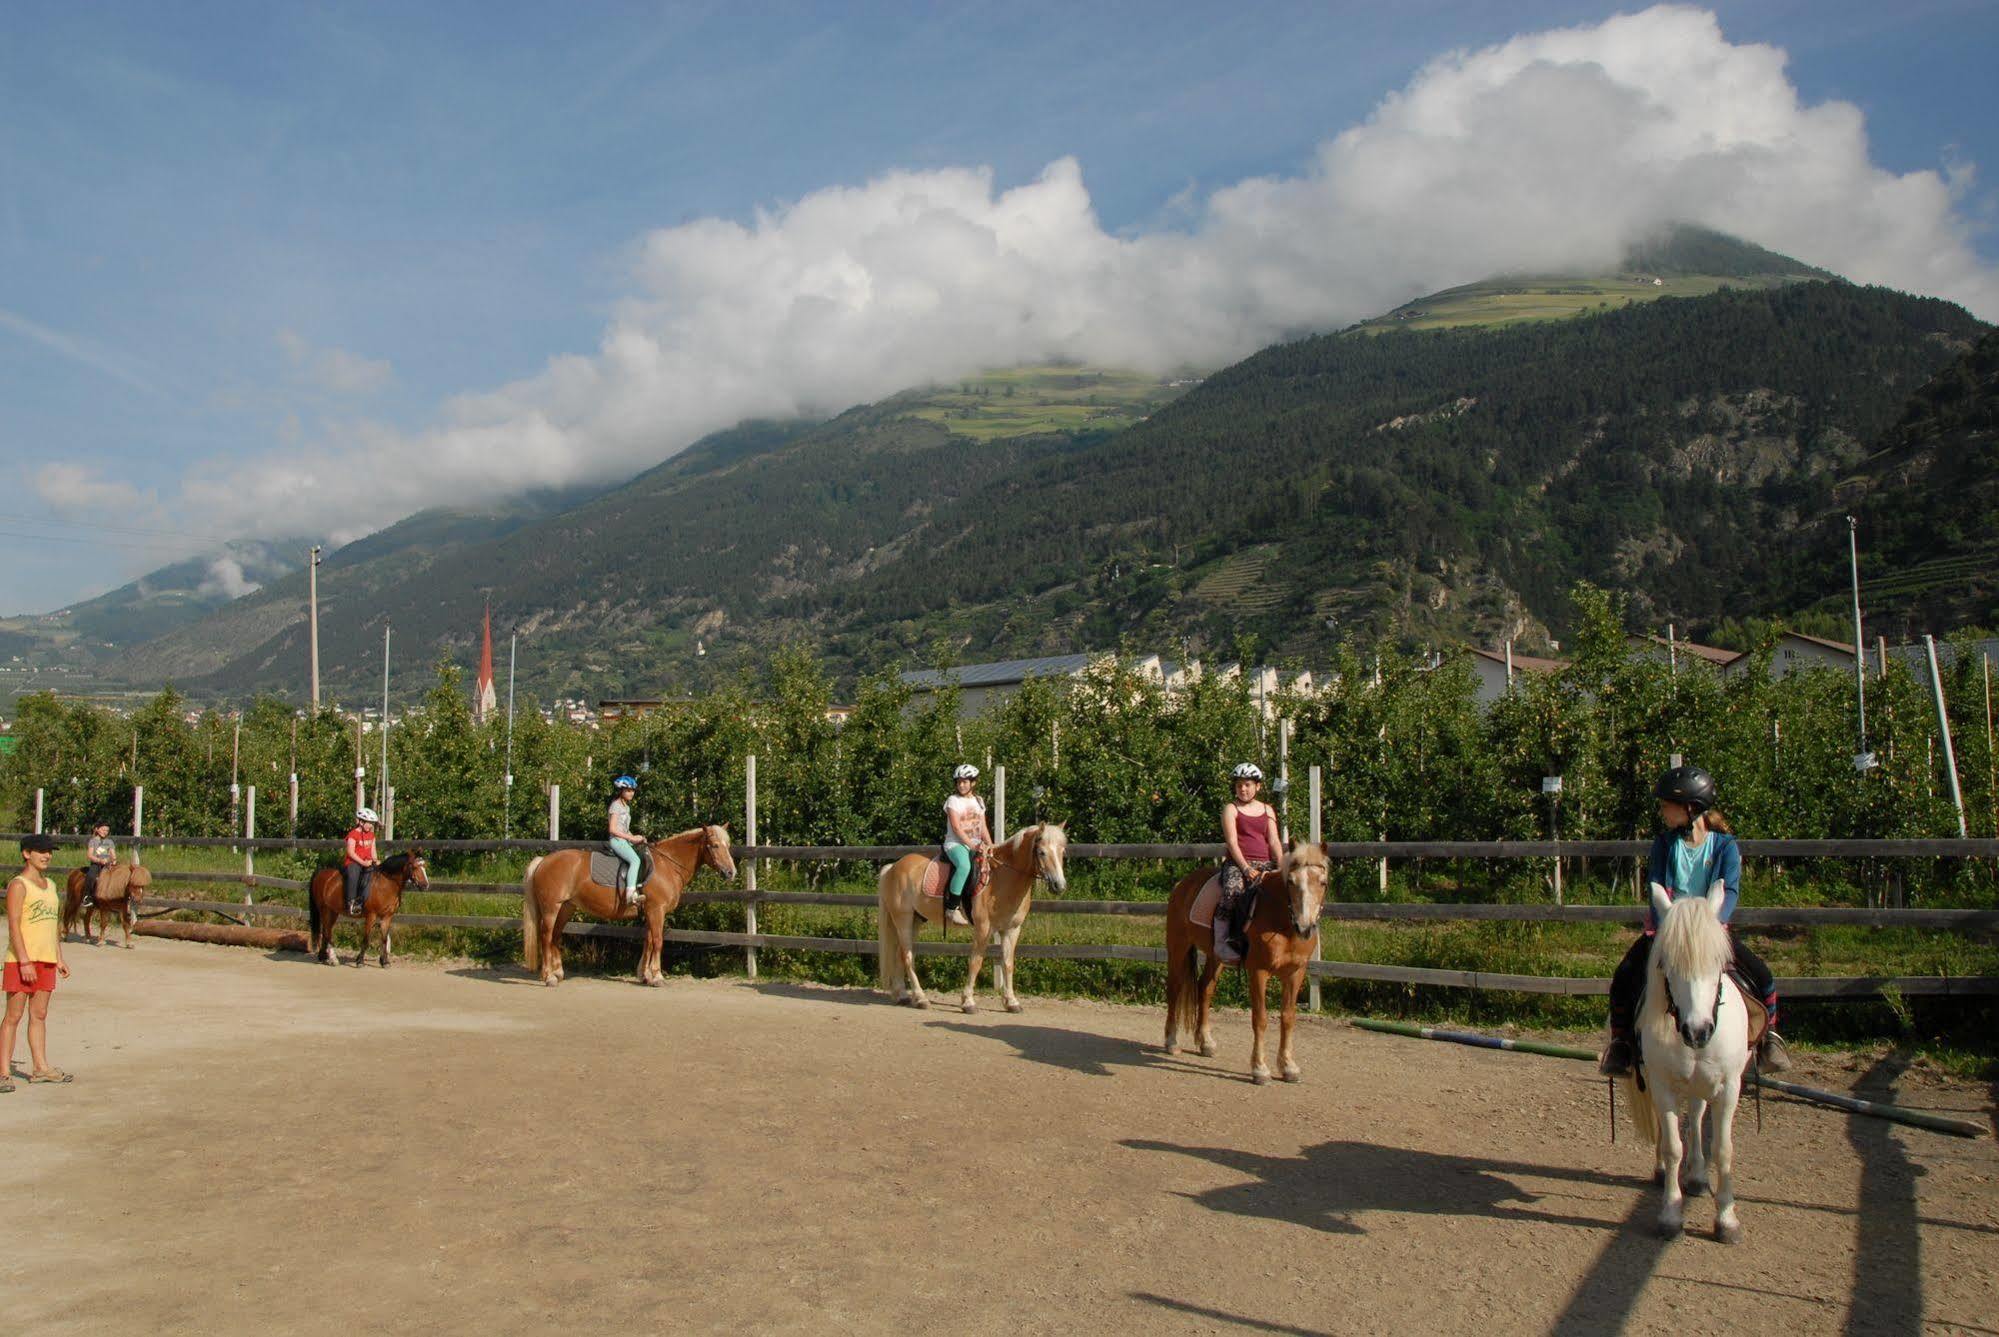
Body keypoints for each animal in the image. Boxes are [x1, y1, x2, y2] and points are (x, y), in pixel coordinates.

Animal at [519, 827, 739, 987]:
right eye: (714, 845)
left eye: (728, 845)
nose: (731, 872)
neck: (667, 865)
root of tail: (544, 860)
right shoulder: (656, 910)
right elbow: (658, 941)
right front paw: (657, 976)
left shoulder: (650, 911)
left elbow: (648, 941)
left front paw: (645, 975)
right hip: (551, 908)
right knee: (546, 937)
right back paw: (548, 977)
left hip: (566, 908)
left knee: (555, 936)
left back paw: (558, 973)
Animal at [871, 823, 1063, 1011]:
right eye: (1042, 852)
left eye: (1062, 852)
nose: (1059, 885)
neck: (1001, 876)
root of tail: (893, 867)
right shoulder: (983, 928)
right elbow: (976, 962)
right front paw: (968, 1001)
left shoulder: (1011, 929)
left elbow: (1008, 964)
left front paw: (1012, 1002)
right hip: (903, 918)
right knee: (907, 956)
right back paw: (920, 998)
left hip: (915, 920)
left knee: (899, 954)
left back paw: (903, 995)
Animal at [1159, 843, 1327, 1087]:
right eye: (1291, 881)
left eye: (1323, 882)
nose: (1305, 927)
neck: (1282, 921)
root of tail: (1183, 884)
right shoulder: (1258, 971)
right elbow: (1260, 1018)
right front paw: (1260, 1069)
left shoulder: (1296, 972)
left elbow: (1288, 1017)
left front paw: (1288, 1067)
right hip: (1178, 947)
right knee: (1174, 990)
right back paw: (1171, 1042)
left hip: (1216, 956)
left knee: (1204, 989)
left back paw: (1206, 1043)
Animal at [1623, 875, 1751, 1239]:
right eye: (1665, 964)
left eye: (1720, 964)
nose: (1698, 1031)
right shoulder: (1661, 1083)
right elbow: (1672, 1145)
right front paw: (1670, 1214)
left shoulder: (1730, 1086)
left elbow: (1722, 1149)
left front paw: (1727, 1220)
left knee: (1695, 1116)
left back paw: (1696, 1177)